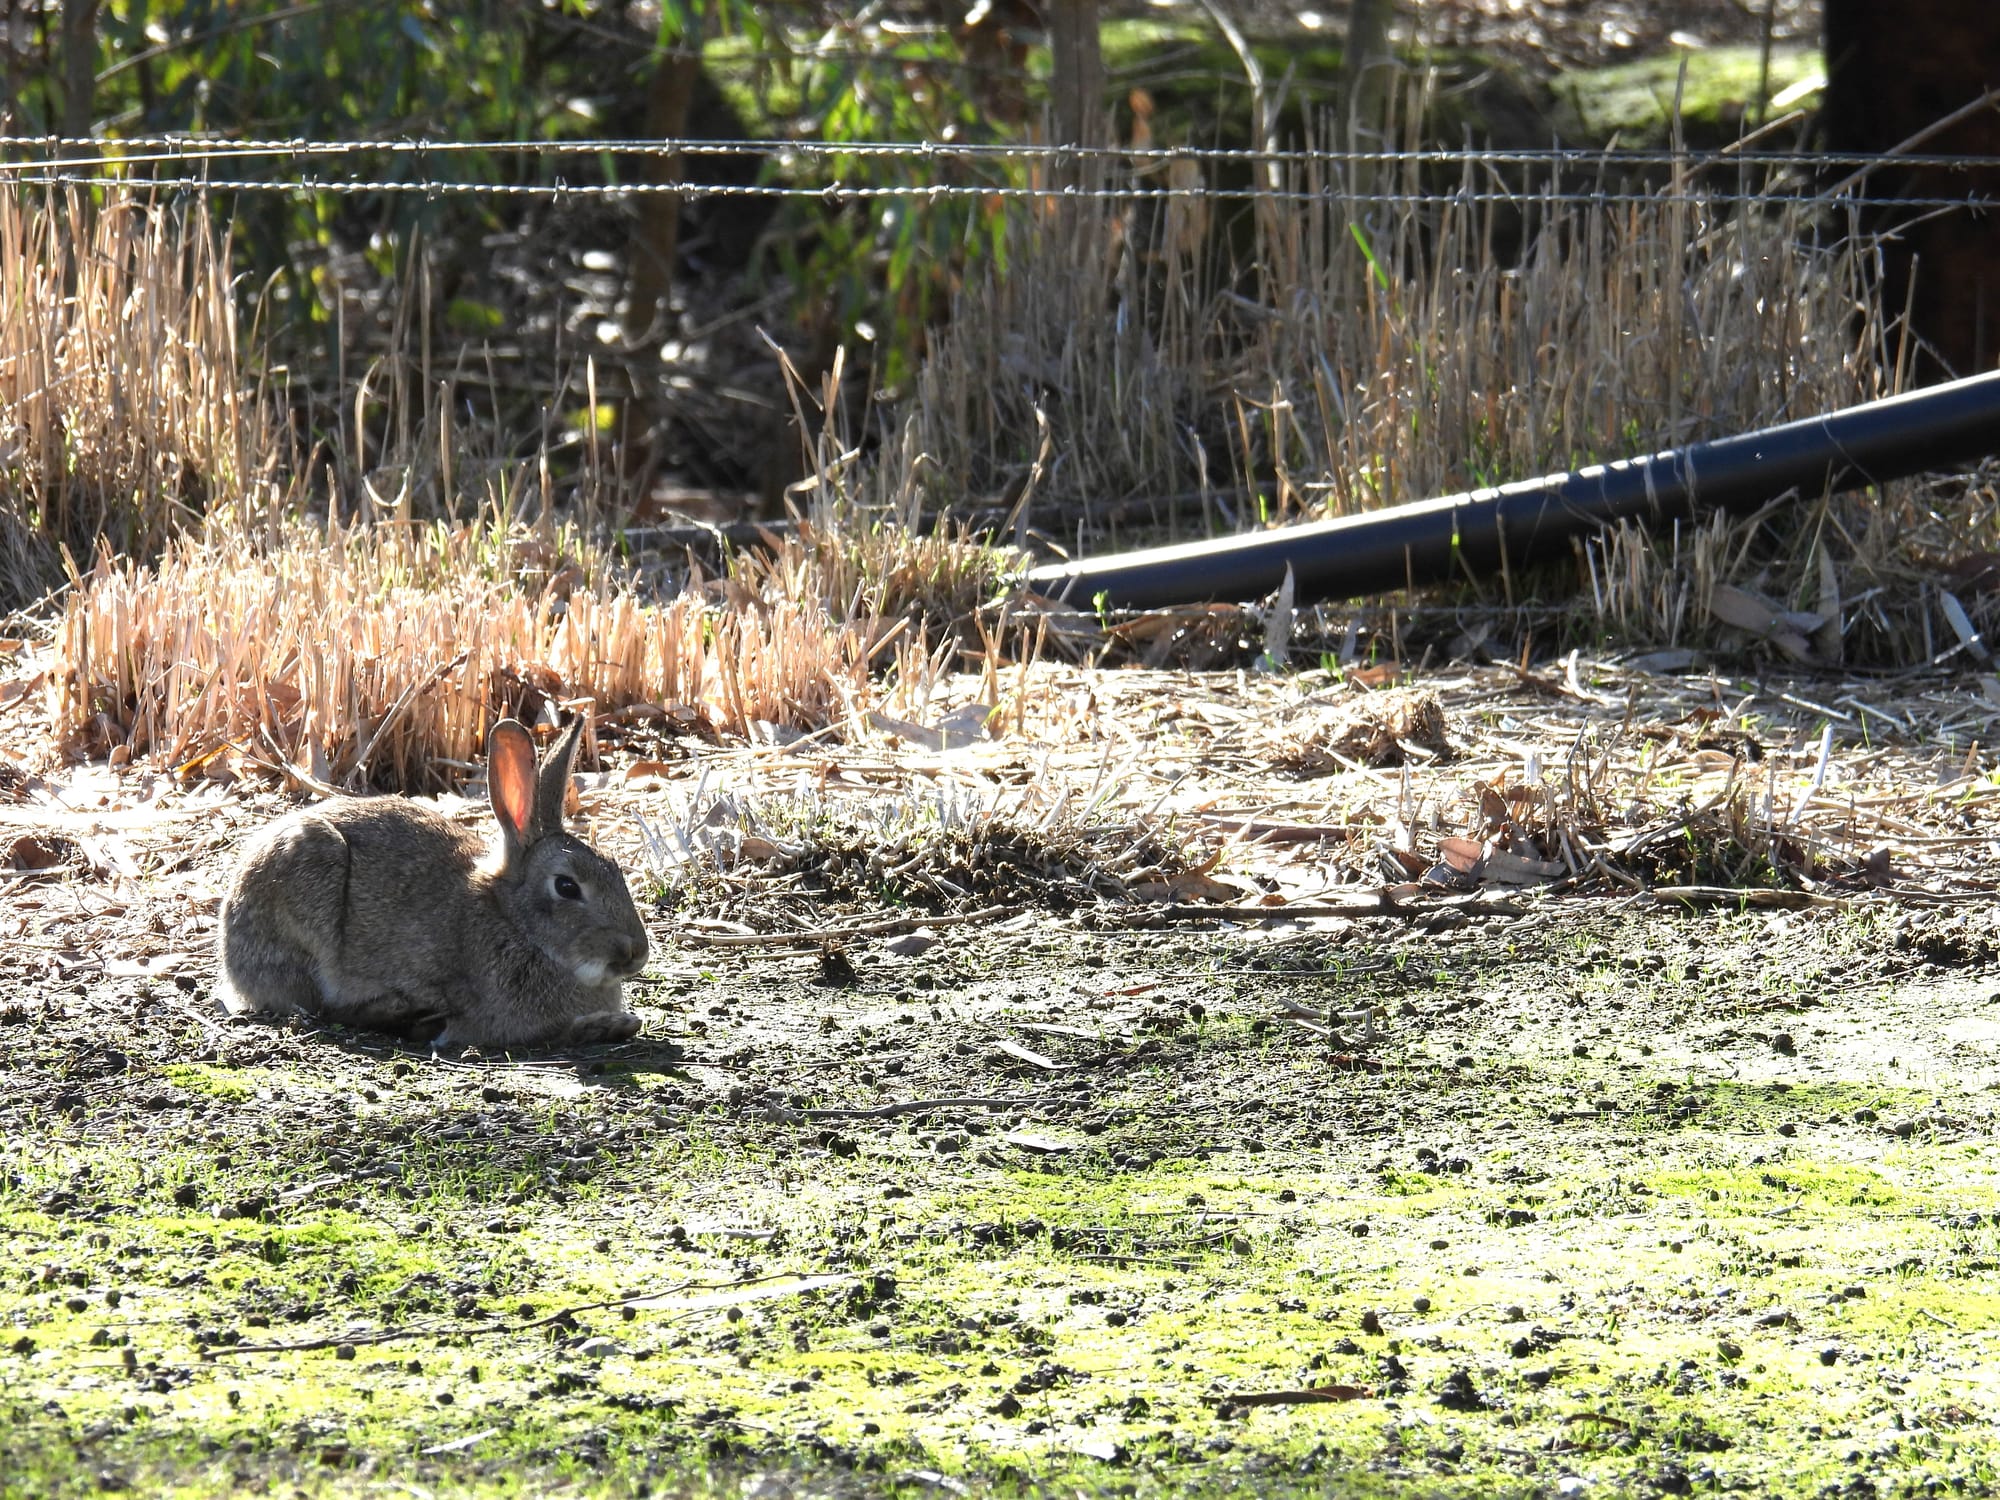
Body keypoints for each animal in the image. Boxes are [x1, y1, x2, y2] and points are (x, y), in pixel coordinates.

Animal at [215, 715, 649, 1051]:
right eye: (567, 887)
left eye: (616, 870)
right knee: (322, 1004)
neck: (513, 921)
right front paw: (607, 1025)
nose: (637, 953)